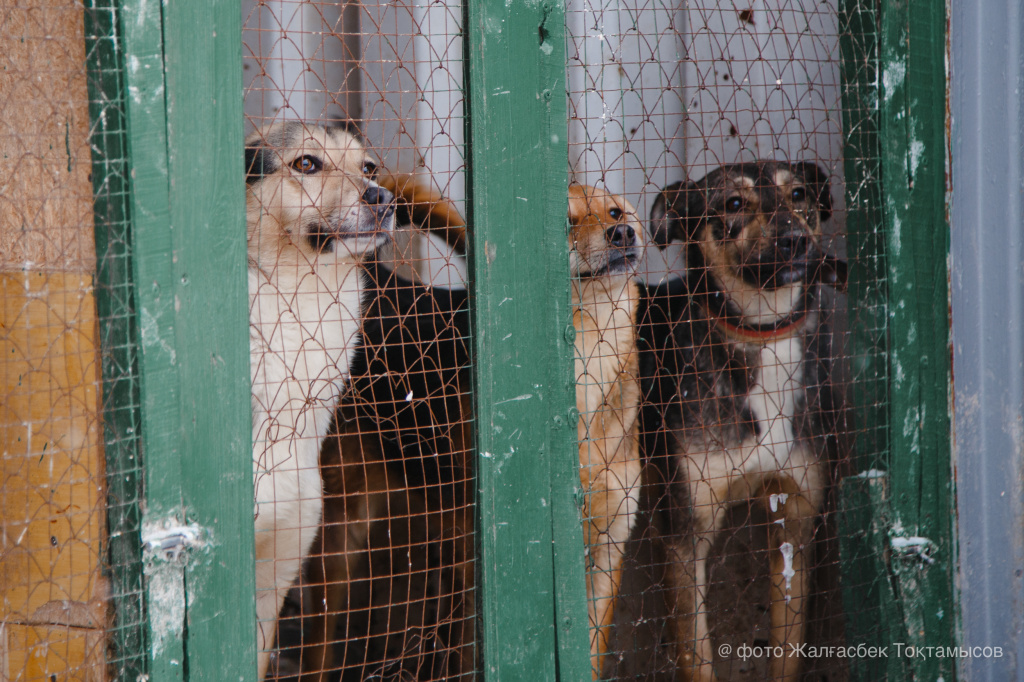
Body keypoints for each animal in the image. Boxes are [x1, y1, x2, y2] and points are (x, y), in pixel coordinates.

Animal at [638, 160, 847, 679]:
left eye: (799, 194)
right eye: (733, 203)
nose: (795, 240)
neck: (761, 334)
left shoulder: (796, 523)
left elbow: (787, 655)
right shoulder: (683, 539)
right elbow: (697, 658)